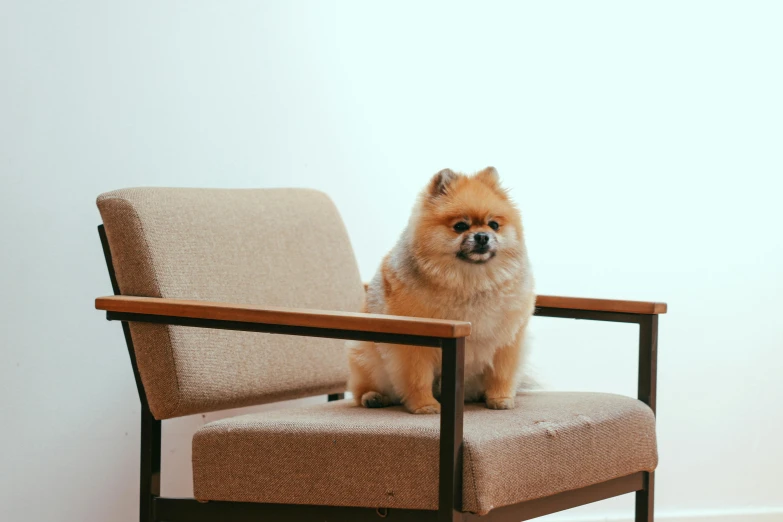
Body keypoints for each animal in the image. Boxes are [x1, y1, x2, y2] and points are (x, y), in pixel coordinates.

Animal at [348, 167, 536, 410]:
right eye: (460, 226)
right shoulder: (414, 344)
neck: (471, 280)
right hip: (366, 356)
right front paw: (424, 405)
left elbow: (502, 374)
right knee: (362, 387)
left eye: (494, 225)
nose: (482, 236)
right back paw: (373, 397)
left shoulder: (508, 340)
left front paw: (500, 398)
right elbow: (418, 376)